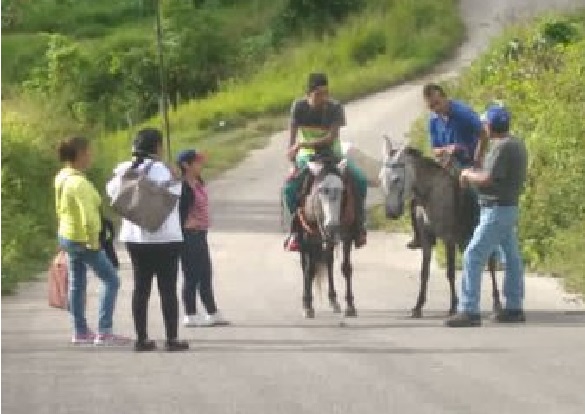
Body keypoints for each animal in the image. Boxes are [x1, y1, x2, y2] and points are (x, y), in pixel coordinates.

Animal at [378, 138, 502, 316]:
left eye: (396, 179)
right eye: (381, 178)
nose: (391, 213)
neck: (432, 195)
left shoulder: (449, 240)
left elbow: (450, 272)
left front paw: (453, 306)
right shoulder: (426, 241)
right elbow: (424, 273)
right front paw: (418, 307)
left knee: (490, 263)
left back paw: (497, 304)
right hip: (464, 240)